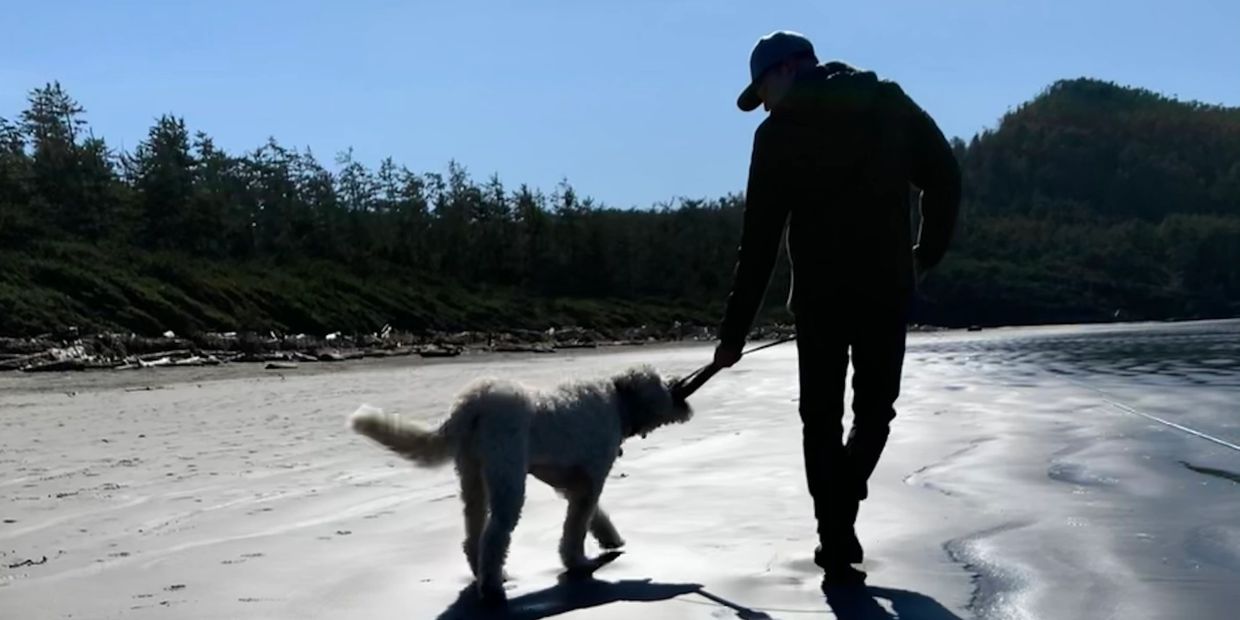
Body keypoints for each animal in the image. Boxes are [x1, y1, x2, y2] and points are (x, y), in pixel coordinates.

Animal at [349, 364, 694, 602]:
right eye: (660, 381)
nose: (678, 383)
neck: (617, 401)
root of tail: (472, 402)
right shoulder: (591, 481)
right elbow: (577, 526)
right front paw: (577, 562)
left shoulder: (573, 485)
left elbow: (593, 516)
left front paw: (611, 539)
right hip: (508, 480)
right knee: (495, 536)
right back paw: (492, 589)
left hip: (473, 477)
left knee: (474, 533)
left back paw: (485, 574)